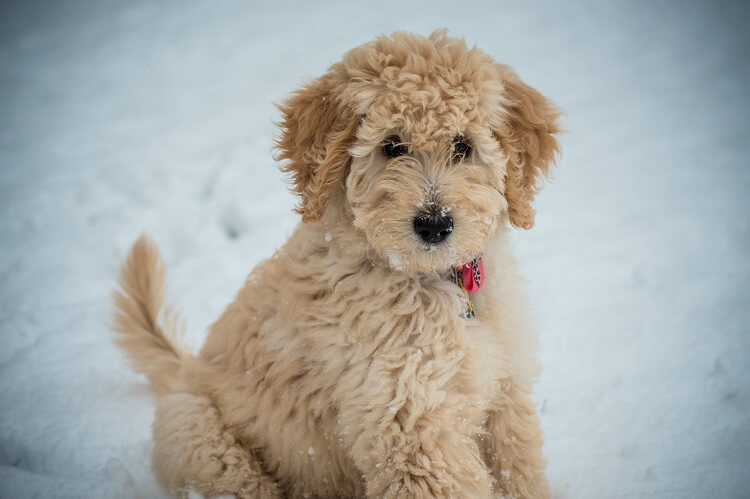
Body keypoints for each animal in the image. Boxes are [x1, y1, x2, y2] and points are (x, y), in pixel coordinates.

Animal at [111, 29, 560, 498]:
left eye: (463, 146)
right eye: (392, 146)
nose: (434, 225)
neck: (438, 284)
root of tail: (182, 372)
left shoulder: (505, 397)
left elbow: (520, 473)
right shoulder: (411, 425)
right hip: (207, 443)